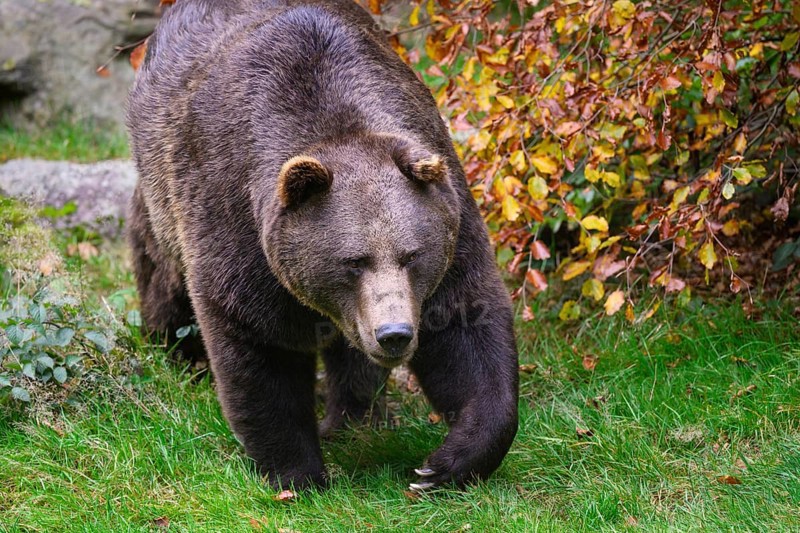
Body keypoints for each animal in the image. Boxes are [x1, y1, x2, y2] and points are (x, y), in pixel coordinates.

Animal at [126, 0, 519, 491]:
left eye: (411, 256)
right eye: (353, 261)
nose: (394, 333)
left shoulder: (450, 218)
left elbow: (465, 322)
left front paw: (443, 464)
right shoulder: (236, 219)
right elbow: (259, 342)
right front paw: (297, 472)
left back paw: (353, 416)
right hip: (159, 186)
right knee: (162, 275)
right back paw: (180, 354)